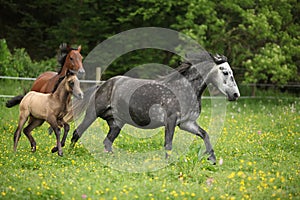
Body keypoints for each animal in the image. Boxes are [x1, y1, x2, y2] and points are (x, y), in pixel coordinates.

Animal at [69, 52, 239, 164]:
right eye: (225, 72)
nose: (235, 95)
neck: (185, 88)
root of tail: (103, 85)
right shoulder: (170, 120)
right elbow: (168, 143)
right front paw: (167, 163)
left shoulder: (186, 123)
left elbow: (205, 135)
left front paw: (213, 159)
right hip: (92, 114)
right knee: (77, 133)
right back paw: (68, 153)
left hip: (116, 123)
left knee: (107, 142)